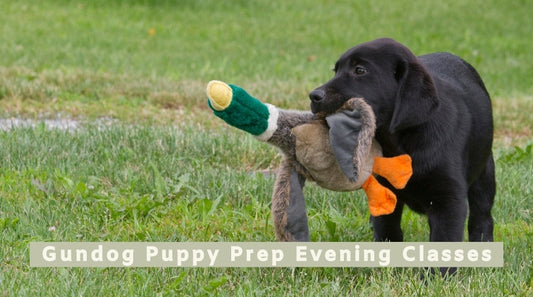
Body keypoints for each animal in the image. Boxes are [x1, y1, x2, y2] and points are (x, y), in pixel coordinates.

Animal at [308, 37, 494, 245]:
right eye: (336, 70)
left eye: (360, 70)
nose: (314, 96)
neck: (401, 142)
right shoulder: (384, 191)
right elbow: (387, 230)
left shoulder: (448, 199)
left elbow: (444, 238)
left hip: (485, 173)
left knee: (482, 215)